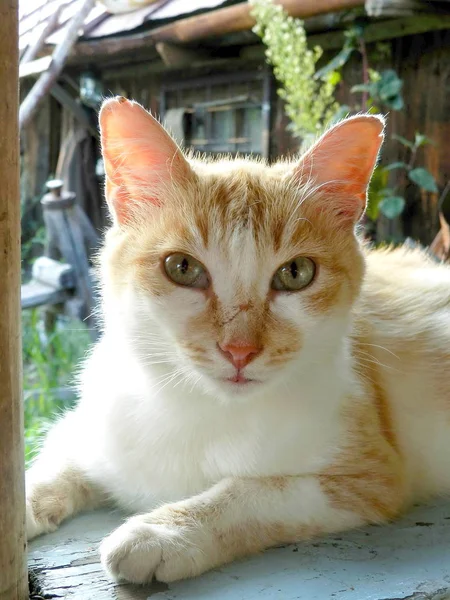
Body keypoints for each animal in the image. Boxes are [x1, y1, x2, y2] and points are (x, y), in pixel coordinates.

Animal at [25, 97, 450, 580]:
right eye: (182, 268)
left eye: (296, 273)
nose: (239, 351)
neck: (196, 408)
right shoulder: (94, 424)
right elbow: (54, 462)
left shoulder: (369, 477)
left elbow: (254, 492)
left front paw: (162, 532)